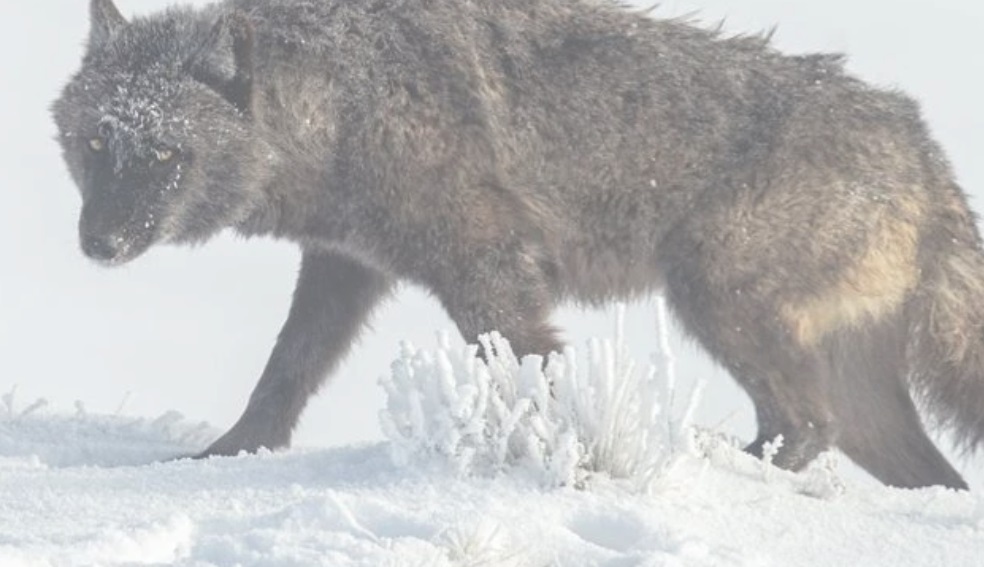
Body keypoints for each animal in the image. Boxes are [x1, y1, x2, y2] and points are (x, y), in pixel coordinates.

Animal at [53, 0, 984, 489]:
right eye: (98, 143)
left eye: (166, 155)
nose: (99, 242)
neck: (346, 103)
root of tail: (924, 151)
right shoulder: (344, 267)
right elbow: (284, 371)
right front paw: (220, 458)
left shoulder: (488, 268)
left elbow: (535, 376)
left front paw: (578, 466)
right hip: (854, 392)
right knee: (924, 469)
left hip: (712, 295)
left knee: (804, 424)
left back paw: (703, 460)